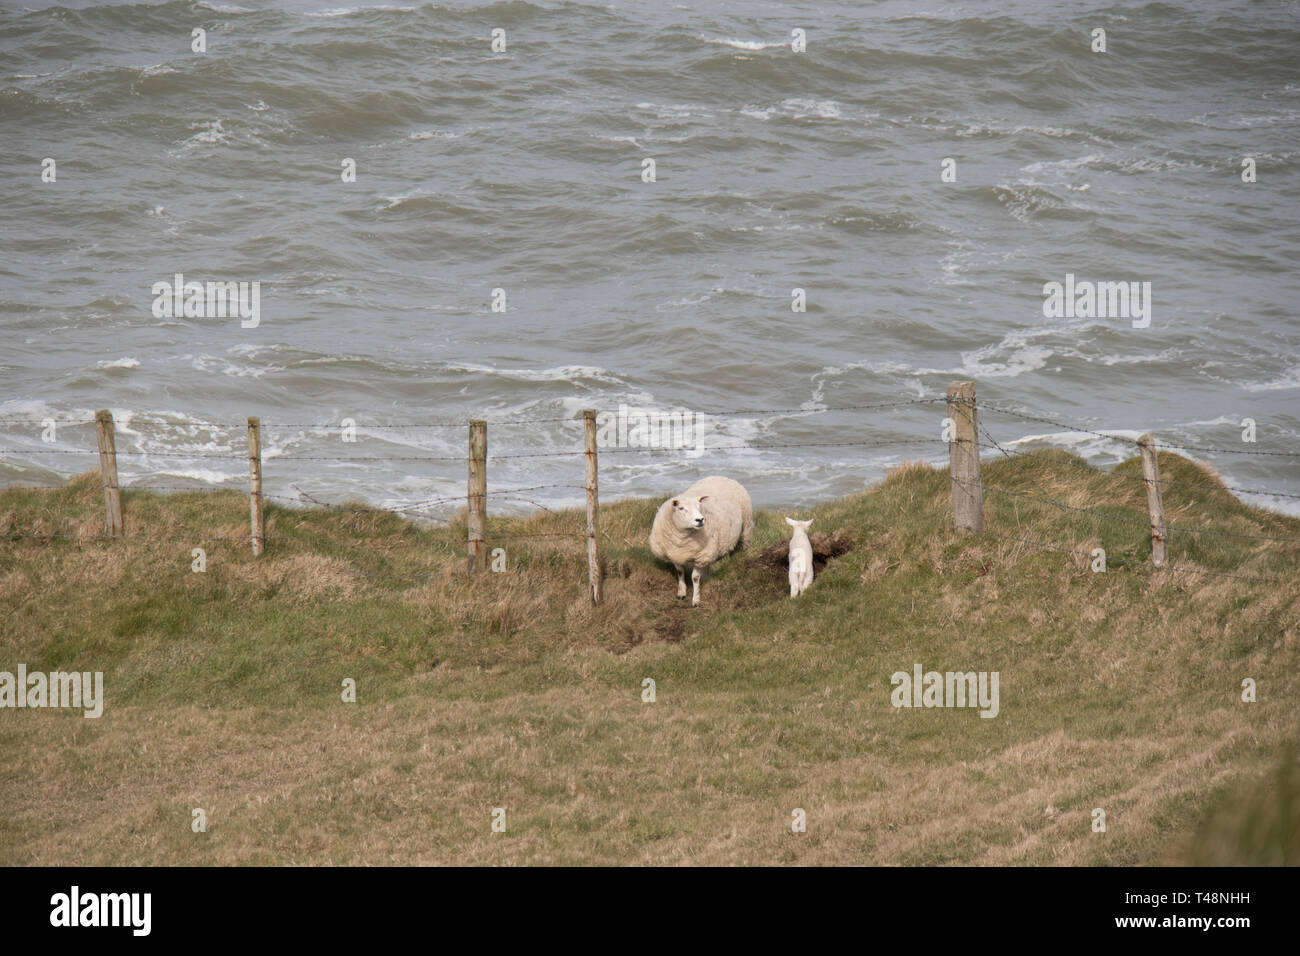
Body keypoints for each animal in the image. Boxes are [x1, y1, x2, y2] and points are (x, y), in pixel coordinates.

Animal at [649, 475, 753, 606]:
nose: (700, 519)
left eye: (699, 507)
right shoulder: (674, 554)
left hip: (745, 529)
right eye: (681, 508)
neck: (682, 538)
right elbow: (680, 572)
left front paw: (696, 600)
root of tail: (722, 476)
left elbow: (695, 578)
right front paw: (681, 593)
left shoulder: (701, 556)